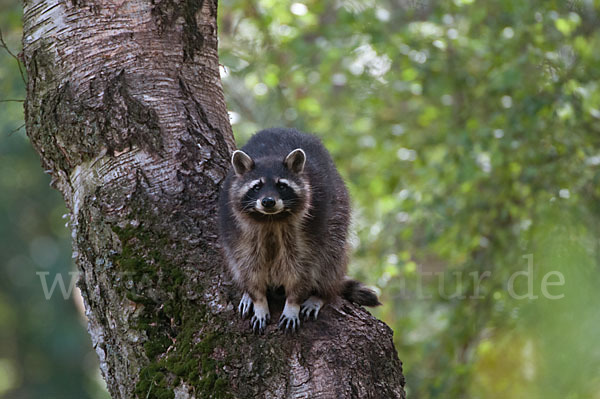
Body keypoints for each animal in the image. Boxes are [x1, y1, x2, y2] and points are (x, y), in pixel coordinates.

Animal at [219, 129, 380, 334]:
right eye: (257, 187)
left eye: (281, 185)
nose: (268, 202)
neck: (271, 220)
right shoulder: (240, 232)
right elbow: (248, 266)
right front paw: (258, 300)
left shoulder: (308, 230)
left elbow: (302, 268)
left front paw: (292, 303)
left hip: (337, 216)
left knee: (331, 258)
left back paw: (322, 293)